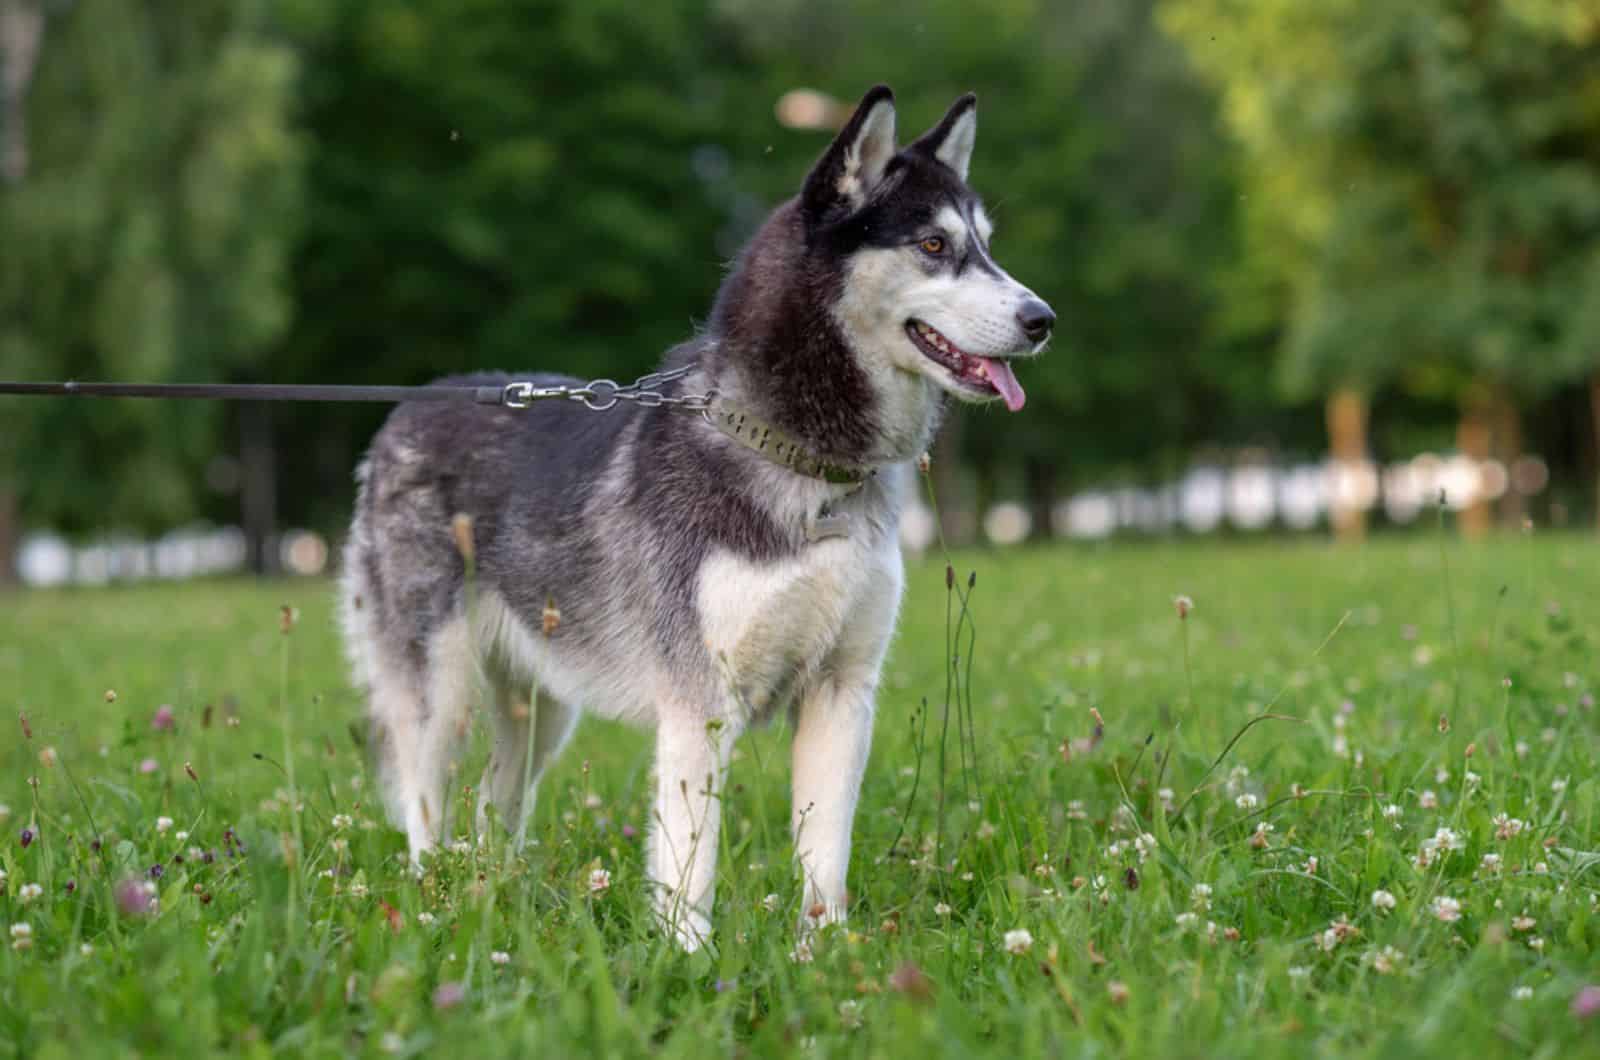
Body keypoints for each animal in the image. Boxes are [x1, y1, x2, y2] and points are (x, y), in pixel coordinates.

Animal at [340, 83, 1049, 947]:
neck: (808, 468)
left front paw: (826, 956)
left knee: (494, 804)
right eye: (934, 245)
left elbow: (825, 856)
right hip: (437, 685)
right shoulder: (698, 705)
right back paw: (432, 901)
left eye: (985, 246)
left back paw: (493, 896)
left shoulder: (844, 693)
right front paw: (688, 959)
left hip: (539, 706)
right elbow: (690, 860)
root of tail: (409, 407)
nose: (1043, 318)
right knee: (425, 801)